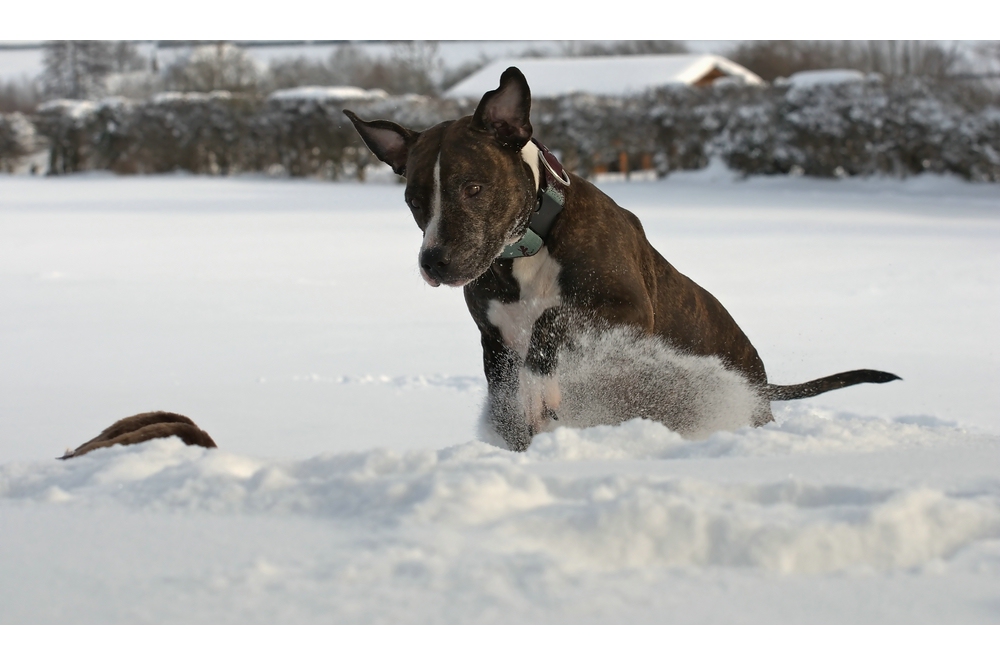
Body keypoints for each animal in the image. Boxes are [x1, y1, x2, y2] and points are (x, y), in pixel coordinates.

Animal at [60, 68, 900, 462]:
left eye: (470, 186)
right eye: (410, 196)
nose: (435, 261)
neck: (524, 247)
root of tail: (760, 381)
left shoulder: (623, 311)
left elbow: (557, 324)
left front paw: (550, 373)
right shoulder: (491, 343)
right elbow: (508, 393)